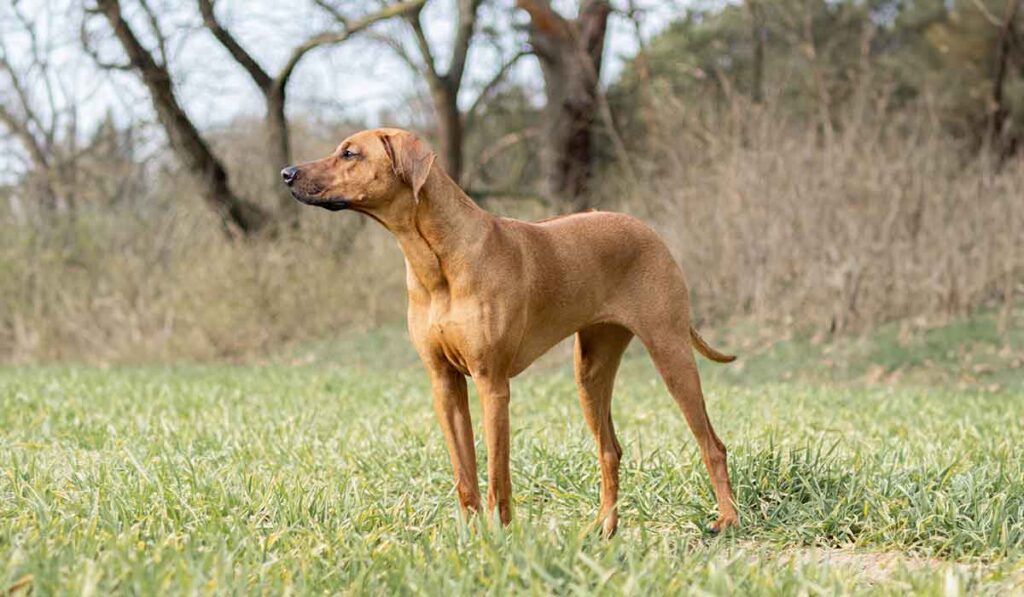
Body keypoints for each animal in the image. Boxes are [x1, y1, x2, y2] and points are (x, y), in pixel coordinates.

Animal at [284, 128, 741, 536]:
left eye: (349, 153)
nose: (287, 173)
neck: (436, 260)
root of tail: (650, 231)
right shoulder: (444, 383)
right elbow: (464, 473)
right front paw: (470, 538)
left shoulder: (492, 384)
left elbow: (497, 472)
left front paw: (499, 535)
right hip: (590, 370)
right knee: (610, 450)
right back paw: (605, 528)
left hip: (669, 350)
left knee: (712, 444)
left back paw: (727, 519)